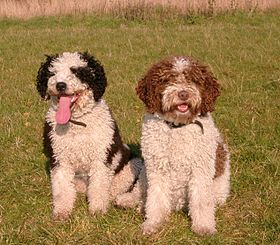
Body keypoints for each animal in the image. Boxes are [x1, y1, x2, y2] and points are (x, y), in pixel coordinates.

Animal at [37, 51, 142, 220]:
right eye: (52, 73)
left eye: (77, 72)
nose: (60, 85)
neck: (77, 124)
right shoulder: (59, 160)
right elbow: (61, 189)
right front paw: (62, 212)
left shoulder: (100, 160)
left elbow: (99, 187)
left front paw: (98, 209)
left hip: (132, 164)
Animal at [116, 56, 230, 235]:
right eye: (168, 80)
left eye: (193, 80)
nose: (183, 94)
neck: (177, 126)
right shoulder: (157, 169)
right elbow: (156, 199)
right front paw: (153, 223)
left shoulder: (200, 170)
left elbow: (201, 201)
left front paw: (204, 227)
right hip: (145, 173)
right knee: (140, 191)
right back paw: (128, 200)